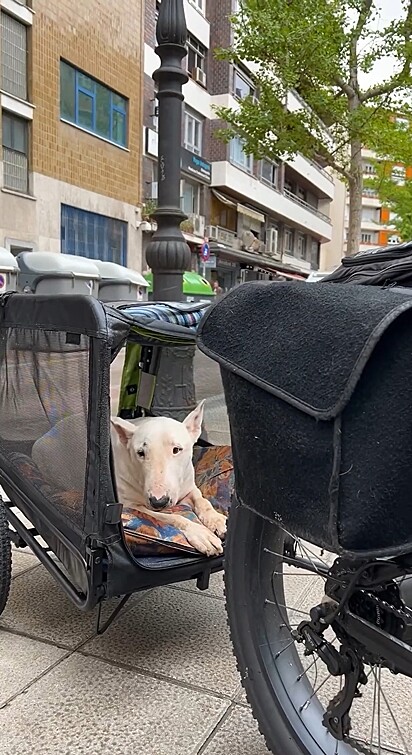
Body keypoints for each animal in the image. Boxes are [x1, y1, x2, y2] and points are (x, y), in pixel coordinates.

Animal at [111, 402, 227, 556]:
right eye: (140, 453)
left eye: (176, 449)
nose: (158, 501)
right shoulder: (131, 505)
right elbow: (171, 517)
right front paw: (202, 534)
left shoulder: (188, 487)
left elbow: (202, 500)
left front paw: (215, 519)